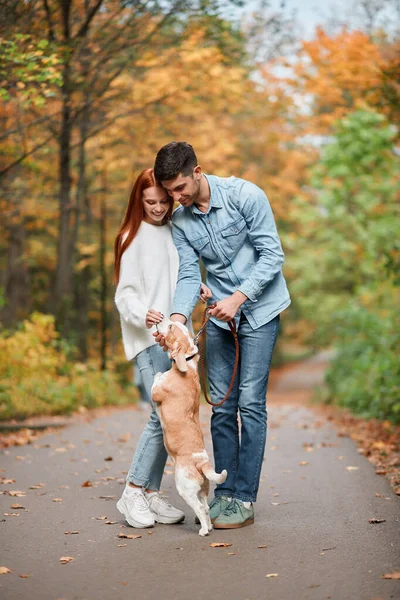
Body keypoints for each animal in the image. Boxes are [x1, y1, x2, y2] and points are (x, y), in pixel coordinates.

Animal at [151, 316, 227, 536]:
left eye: (169, 327)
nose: (161, 317)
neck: (188, 363)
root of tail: (201, 461)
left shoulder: (156, 391)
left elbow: (157, 378)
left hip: (185, 488)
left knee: (200, 508)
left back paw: (203, 531)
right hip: (202, 489)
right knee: (206, 507)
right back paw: (208, 526)